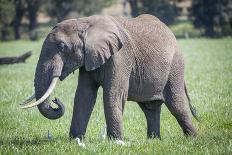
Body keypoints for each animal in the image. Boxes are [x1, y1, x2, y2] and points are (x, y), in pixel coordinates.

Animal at [21, 14, 198, 140]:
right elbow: (84, 96)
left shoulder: (120, 56)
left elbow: (112, 94)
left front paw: (116, 141)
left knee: (176, 105)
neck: (84, 22)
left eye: (62, 46)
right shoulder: (90, 58)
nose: (55, 101)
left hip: (175, 66)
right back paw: (153, 140)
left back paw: (193, 139)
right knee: (150, 108)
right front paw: (75, 140)